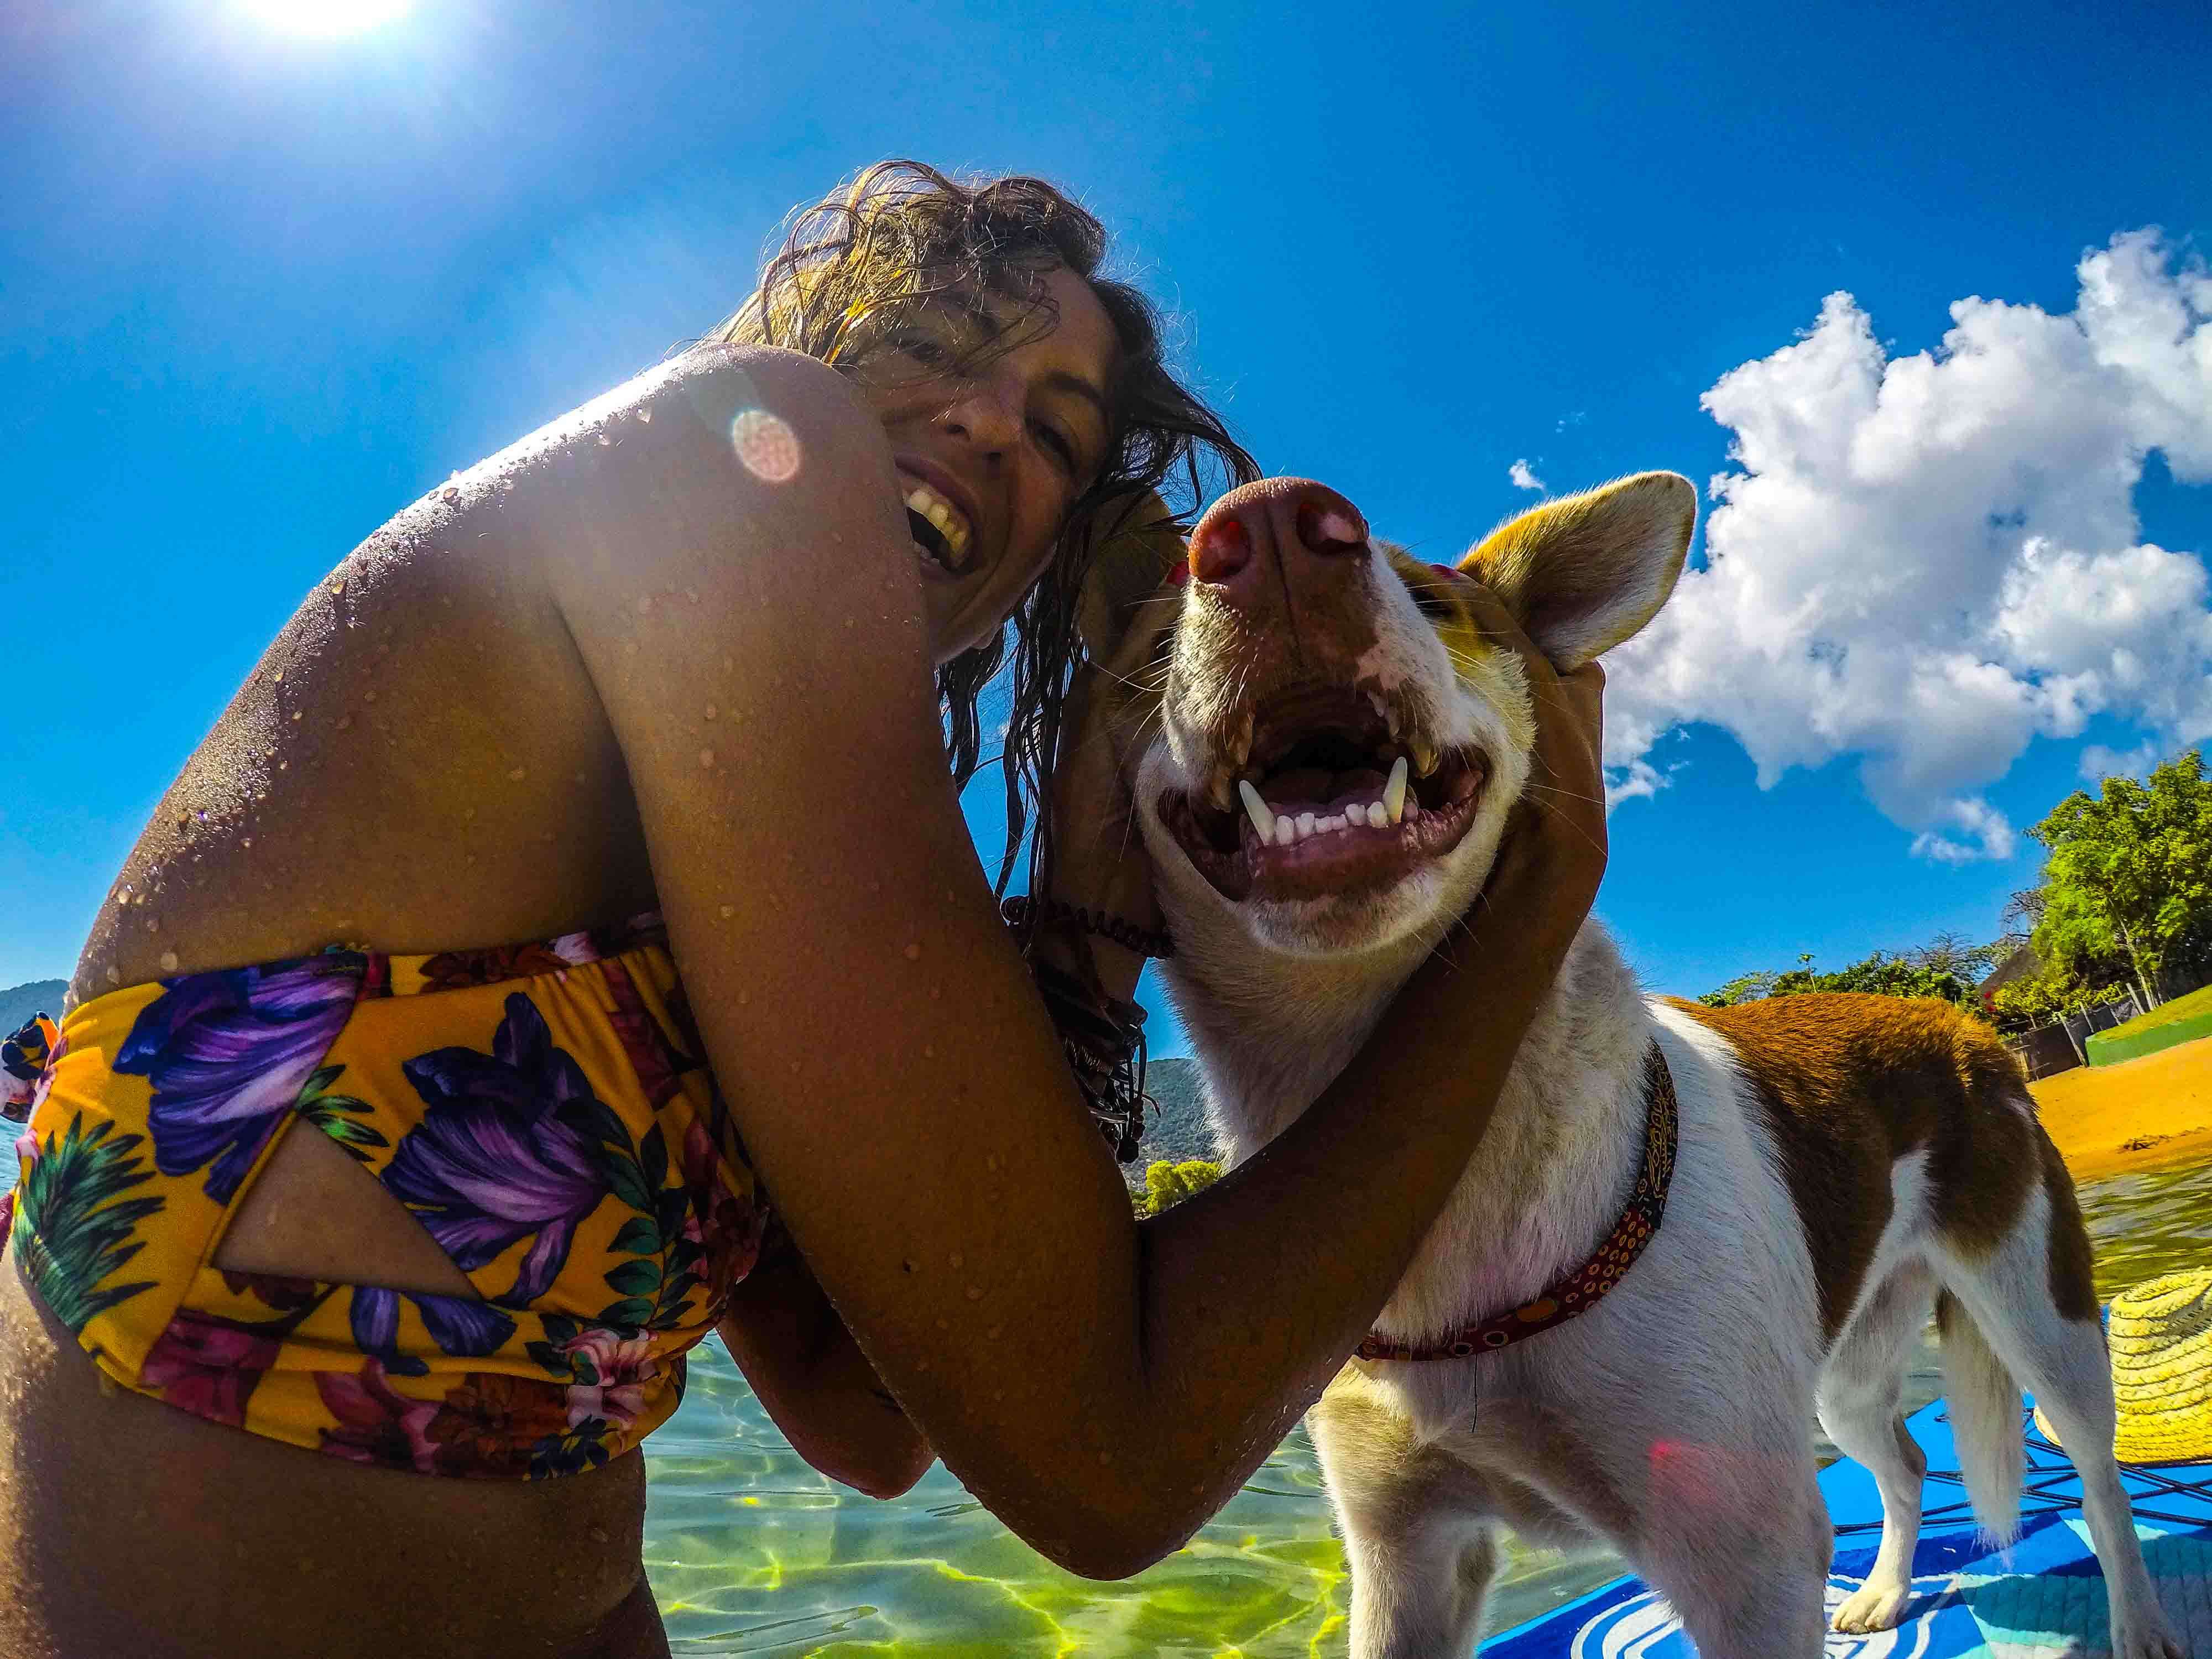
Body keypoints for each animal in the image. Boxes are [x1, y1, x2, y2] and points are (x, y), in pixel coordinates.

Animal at [1079, 478, 2185, 1659]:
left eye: (1435, 600)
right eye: (1163, 630)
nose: (1275, 525)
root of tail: (1954, 1020)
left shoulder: (1741, 1559)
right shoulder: (1403, 1557)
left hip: (2037, 1307)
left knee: (2095, 1463)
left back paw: (2139, 1620)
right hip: (1840, 1368)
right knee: (1905, 1457)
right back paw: (1886, 1592)